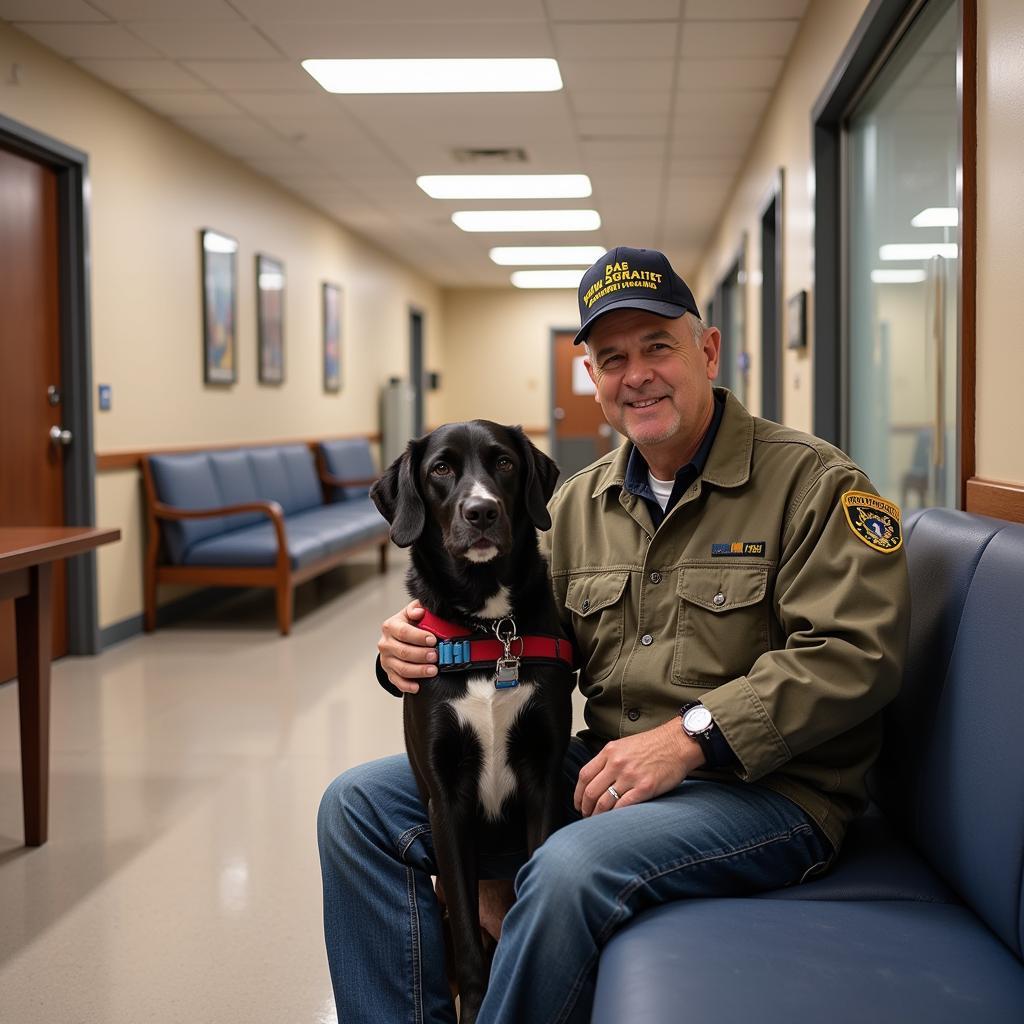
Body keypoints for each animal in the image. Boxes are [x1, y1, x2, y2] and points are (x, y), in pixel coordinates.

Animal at [370, 419, 577, 1019]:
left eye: (504, 462)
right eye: (441, 468)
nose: (481, 511)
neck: (489, 630)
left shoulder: (541, 777)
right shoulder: (446, 800)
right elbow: (468, 945)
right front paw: (480, 1002)